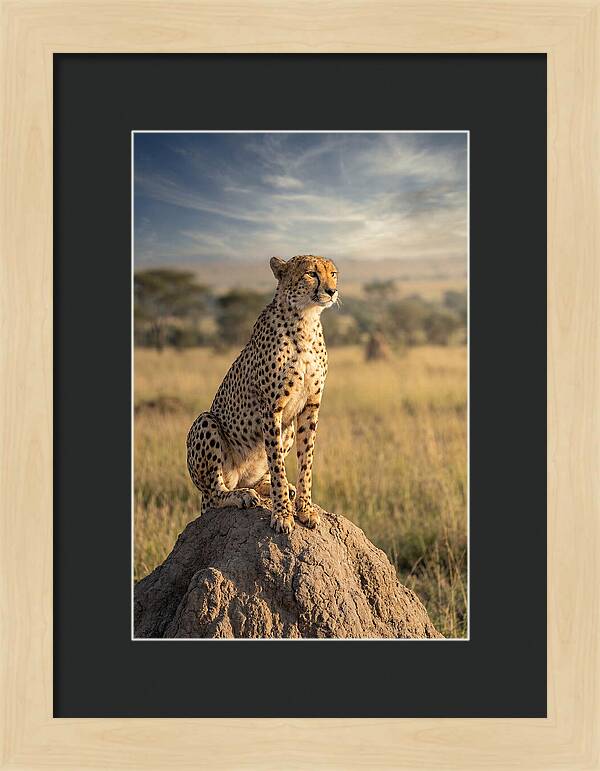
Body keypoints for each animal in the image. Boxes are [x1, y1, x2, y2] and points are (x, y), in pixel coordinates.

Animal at [186, 254, 339, 534]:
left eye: (333, 273)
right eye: (311, 274)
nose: (332, 291)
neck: (306, 319)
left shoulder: (310, 406)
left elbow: (306, 462)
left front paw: (305, 509)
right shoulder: (271, 408)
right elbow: (277, 463)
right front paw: (282, 515)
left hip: (287, 429)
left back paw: (271, 488)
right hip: (206, 422)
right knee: (215, 493)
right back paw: (240, 496)